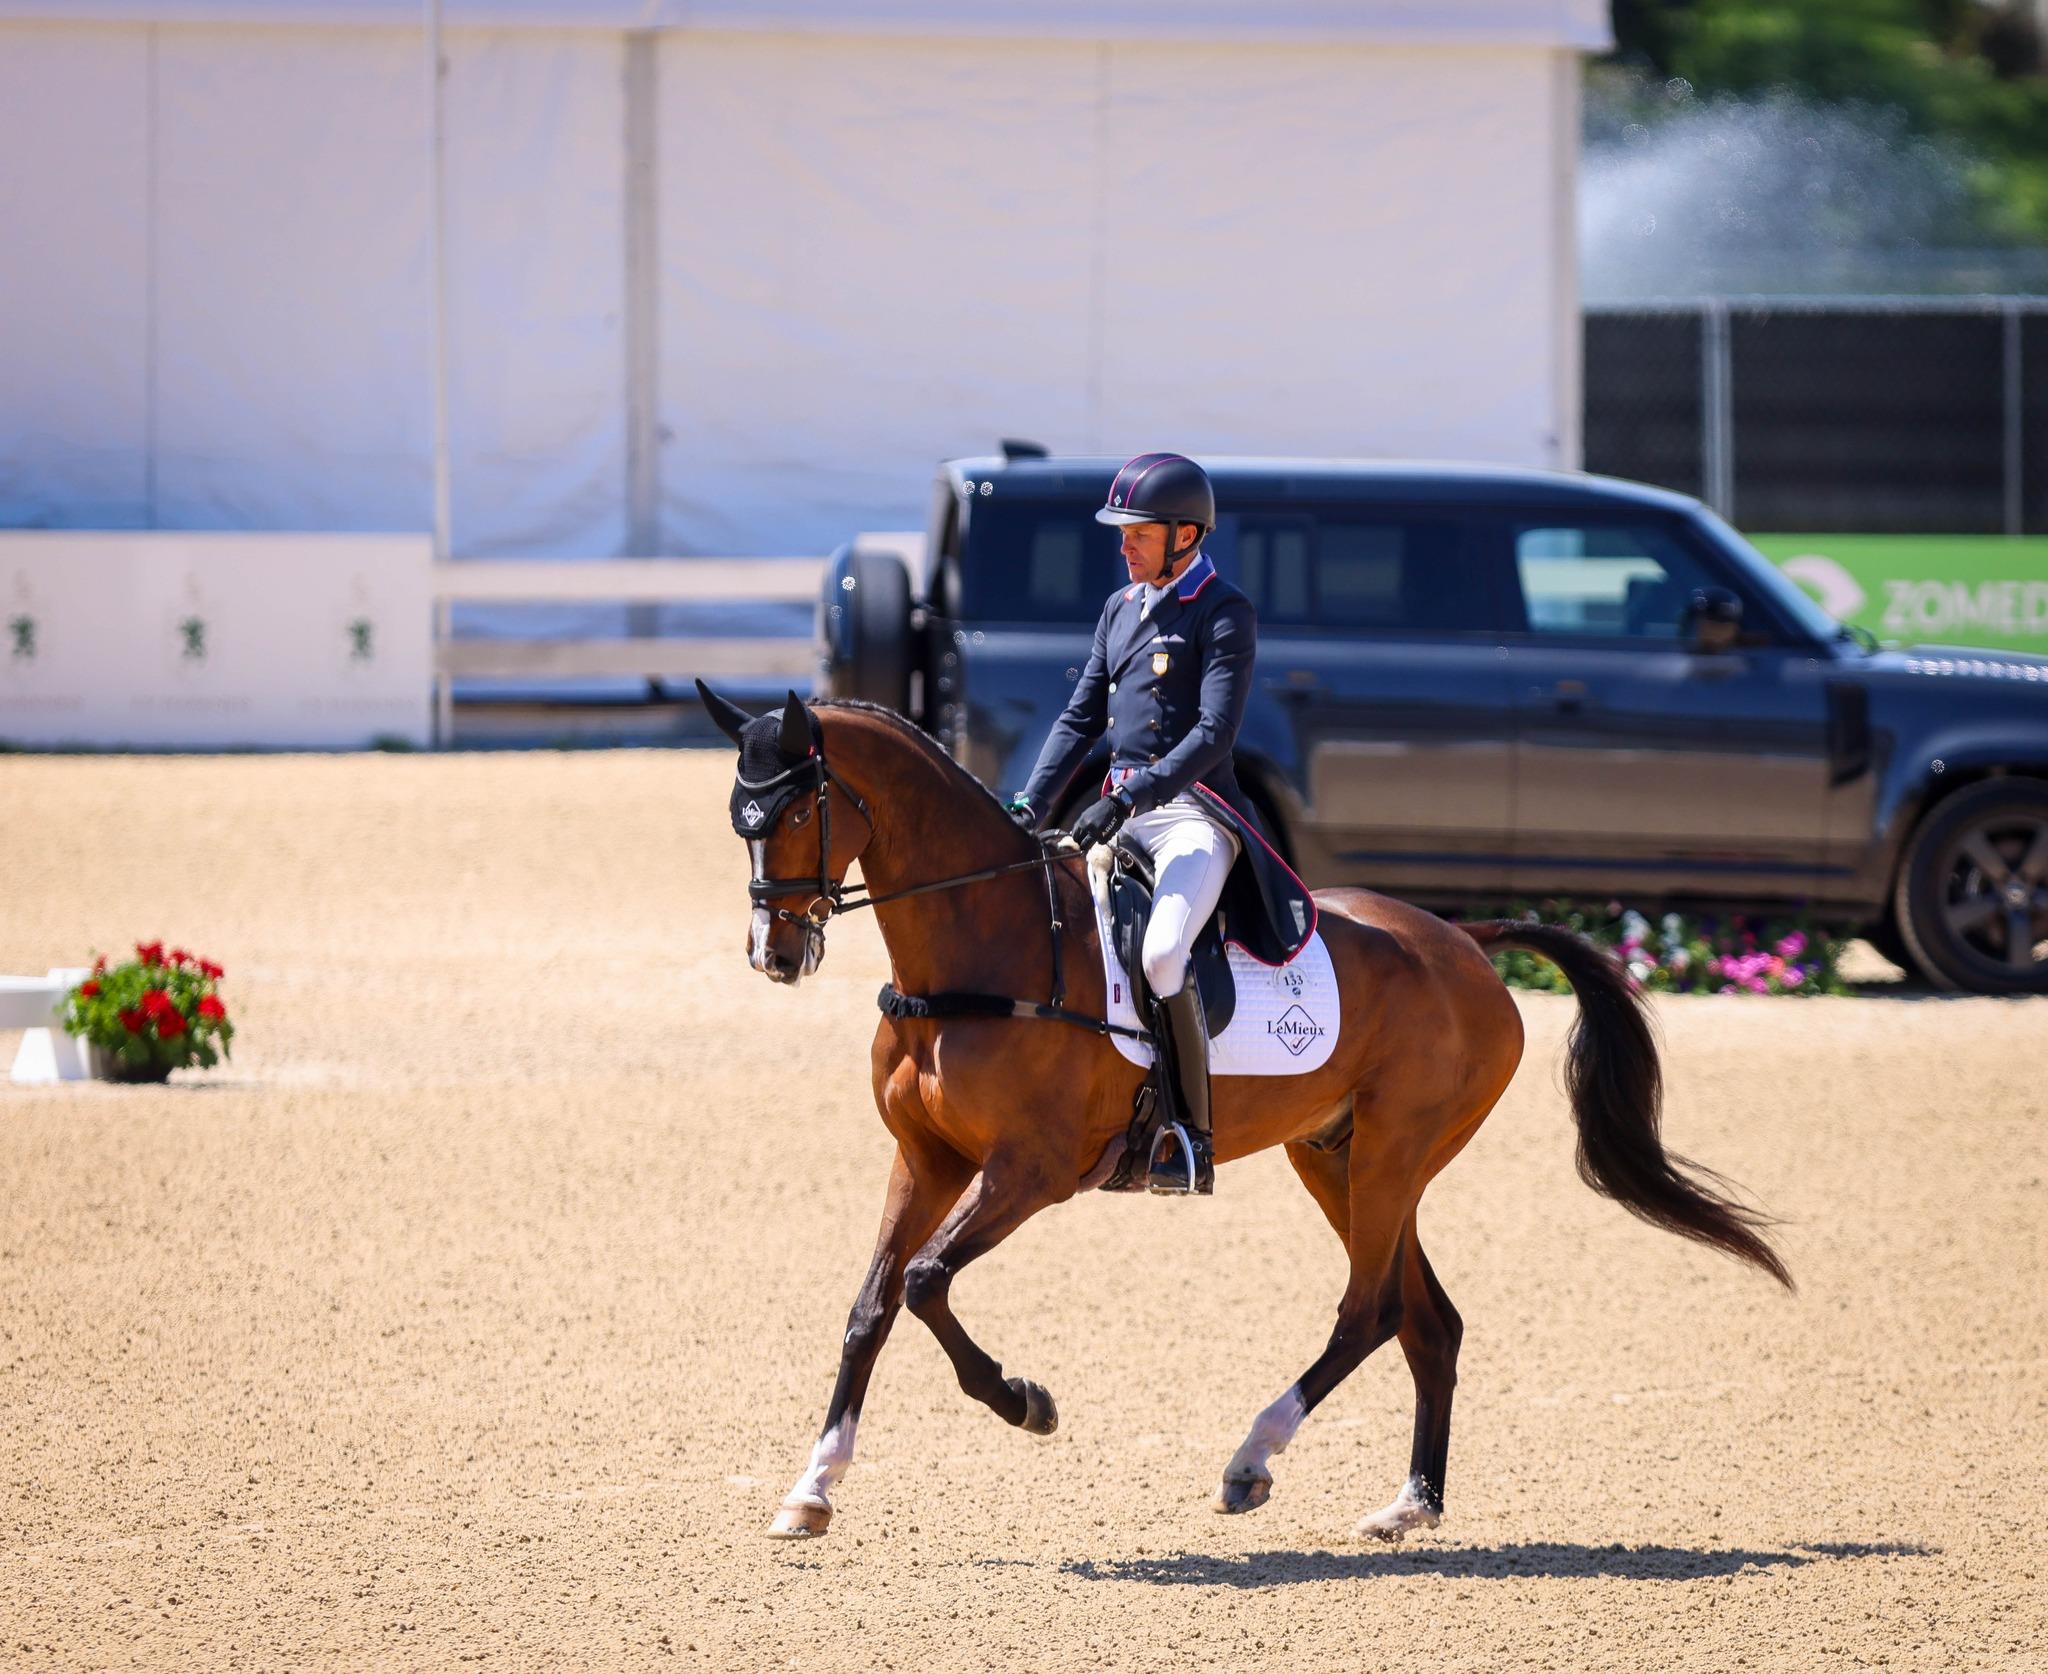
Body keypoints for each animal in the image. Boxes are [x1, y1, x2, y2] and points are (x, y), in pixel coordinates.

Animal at [708, 684, 1794, 1540]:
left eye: (795, 811)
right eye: (738, 820)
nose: (775, 954)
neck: (987, 945)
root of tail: (1462, 939)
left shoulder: (1031, 1172)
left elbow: (927, 1281)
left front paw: (1026, 1404)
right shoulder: (926, 1159)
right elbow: (872, 1306)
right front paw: (812, 1488)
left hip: (1392, 1154)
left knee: (1371, 1311)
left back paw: (1250, 1461)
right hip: (1336, 1155)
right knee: (1427, 1320)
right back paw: (1410, 1504)